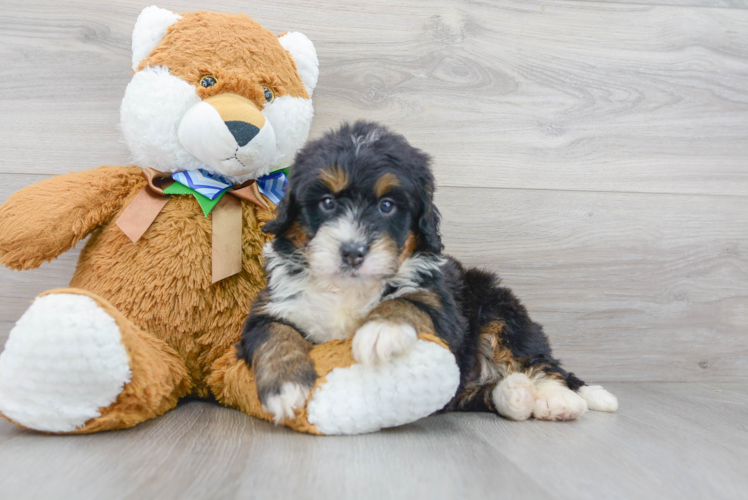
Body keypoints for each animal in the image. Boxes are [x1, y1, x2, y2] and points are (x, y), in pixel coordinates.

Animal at [240, 120, 620, 422]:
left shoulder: (445, 308)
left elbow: (411, 301)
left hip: (499, 310)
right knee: (479, 392)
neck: (349, 288)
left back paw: (564, 399)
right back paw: (516, 395)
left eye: (387, 206)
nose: (352, 252)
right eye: (328, 202)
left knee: (543, 363)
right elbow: (274, 334)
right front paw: (285, 386)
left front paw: (381, 330)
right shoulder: (272, 307)